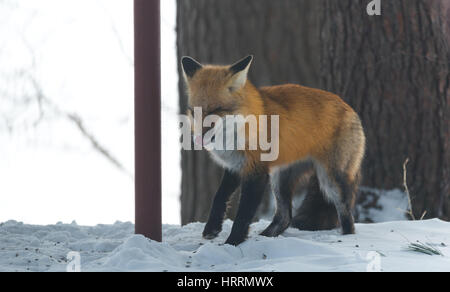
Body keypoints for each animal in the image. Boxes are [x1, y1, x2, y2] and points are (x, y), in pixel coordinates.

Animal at [181, 55, 364, 246]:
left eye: (216, 110)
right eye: (193, 111)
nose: (198, 138)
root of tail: (349, 107)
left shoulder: (257, 172)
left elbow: (243, 214)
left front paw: (232, 242)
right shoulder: (236, 166)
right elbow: (219, 197)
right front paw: (212, 229)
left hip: (329, 180)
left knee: (347, 214)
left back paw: (347, 238)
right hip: (280, 179)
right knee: (285, 217)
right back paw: (265, 238)